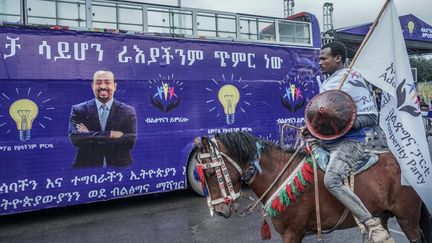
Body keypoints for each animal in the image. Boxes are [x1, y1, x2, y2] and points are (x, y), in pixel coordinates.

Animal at [197, 132, 428, 243]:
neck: (280, 174)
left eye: (211, 173)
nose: (219, 210)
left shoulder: (292, 233)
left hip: (407, 219)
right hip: (383, 215)